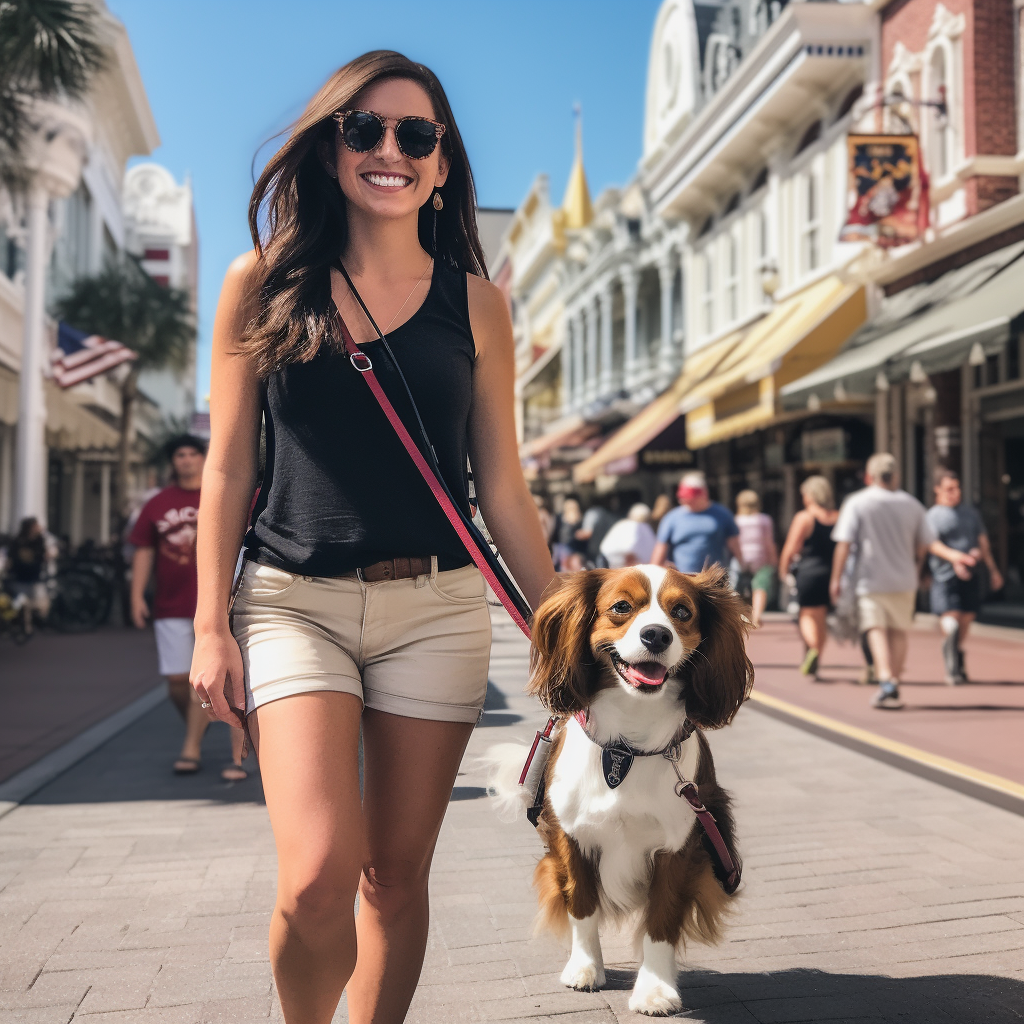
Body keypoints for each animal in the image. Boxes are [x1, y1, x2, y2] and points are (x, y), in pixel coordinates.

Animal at [487, 565, 753, 1019]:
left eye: (682, 612)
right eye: (621, 607)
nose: (657, 635)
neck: (628, 746)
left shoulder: (678, 848)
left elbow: (661, 921)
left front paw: (655, 990)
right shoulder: (571, 837)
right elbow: (582, 906)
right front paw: (585, 968)